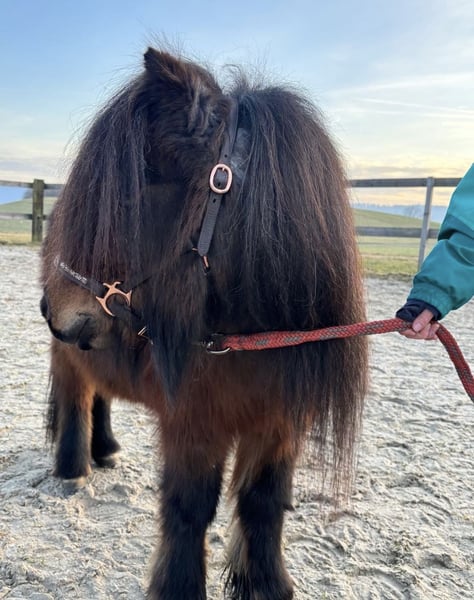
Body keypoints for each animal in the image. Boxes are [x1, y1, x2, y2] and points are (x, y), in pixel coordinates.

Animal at [40, 47, 369, 600]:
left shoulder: (278, 426)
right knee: (76, 397)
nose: (51, 307)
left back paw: (105, 451)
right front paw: (178, 587)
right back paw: (74, 468)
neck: (253, 340)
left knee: (100, 391)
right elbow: (190, 509)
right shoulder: (195, 425)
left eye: (133, 191)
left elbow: (263, 502)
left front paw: (266, 584)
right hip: (69, 356)